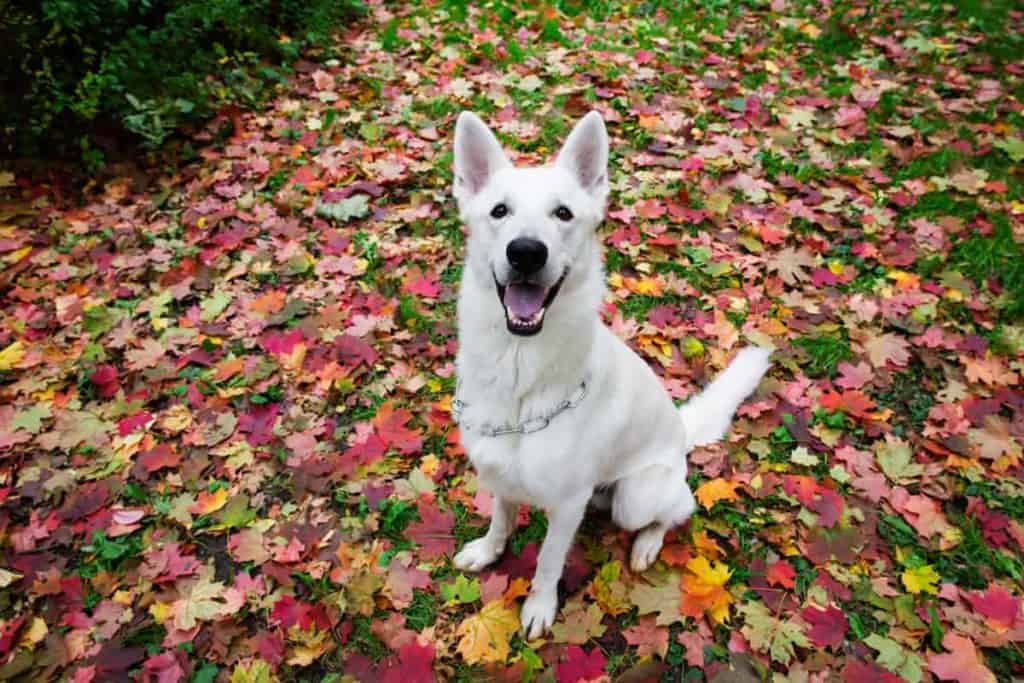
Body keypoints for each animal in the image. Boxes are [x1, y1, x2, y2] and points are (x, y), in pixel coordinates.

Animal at [448, 109, 770, 638]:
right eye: (499, 211)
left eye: (562, 214)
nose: (526, 252)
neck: (520, 374)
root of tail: (680, 432)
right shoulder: (501, 477)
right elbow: (500, 521)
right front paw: (488, 553)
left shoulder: (566, 506)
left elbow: (548, 564)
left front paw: (539, 608)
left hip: (636, 497)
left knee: (676, 509)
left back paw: (647, 544)